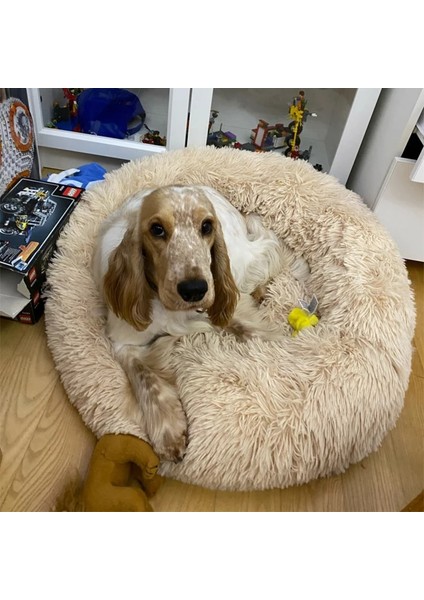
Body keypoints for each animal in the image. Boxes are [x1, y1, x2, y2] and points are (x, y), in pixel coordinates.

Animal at [93, 184, 308, 462]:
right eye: (157, 229)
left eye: (206, 226)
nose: (194, 289)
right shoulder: (124, 340)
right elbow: (145, 378)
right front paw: (169, 432)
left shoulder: (219, 302)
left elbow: (252, 329)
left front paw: (286, 352)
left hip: (243, 261)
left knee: (274, 247)